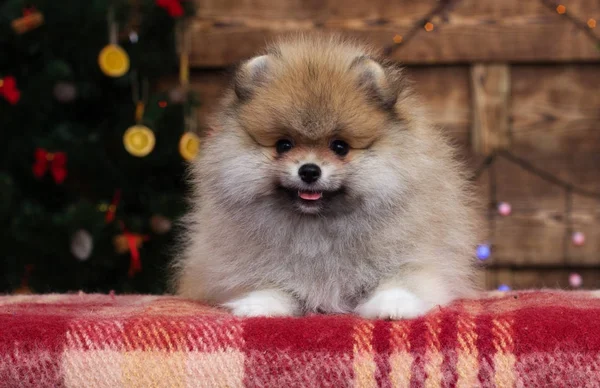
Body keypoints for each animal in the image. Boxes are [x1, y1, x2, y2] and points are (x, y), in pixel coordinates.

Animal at [171, 34, 480, 318]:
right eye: (283, 145)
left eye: (339, 147)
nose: (309, 170)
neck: (317, 231)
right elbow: (268, 284)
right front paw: (258, 304)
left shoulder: (420, 257)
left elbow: (406, 280)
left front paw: (393, 305)